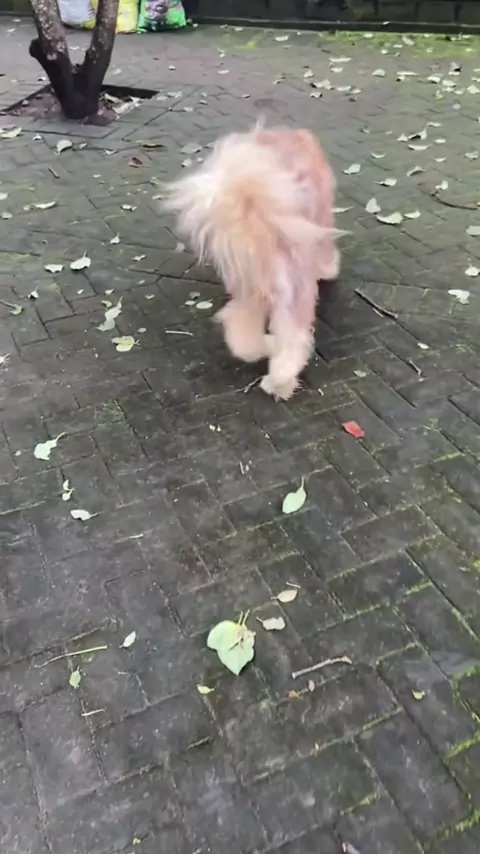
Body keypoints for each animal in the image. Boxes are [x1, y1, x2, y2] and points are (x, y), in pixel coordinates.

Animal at [163, 122, 344, 400]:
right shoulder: (320, 225)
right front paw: (329, 268)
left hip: (249, 290)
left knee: (241, 330)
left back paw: (267, 350)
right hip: (293, 291)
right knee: (292, 339)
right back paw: (280, 381)